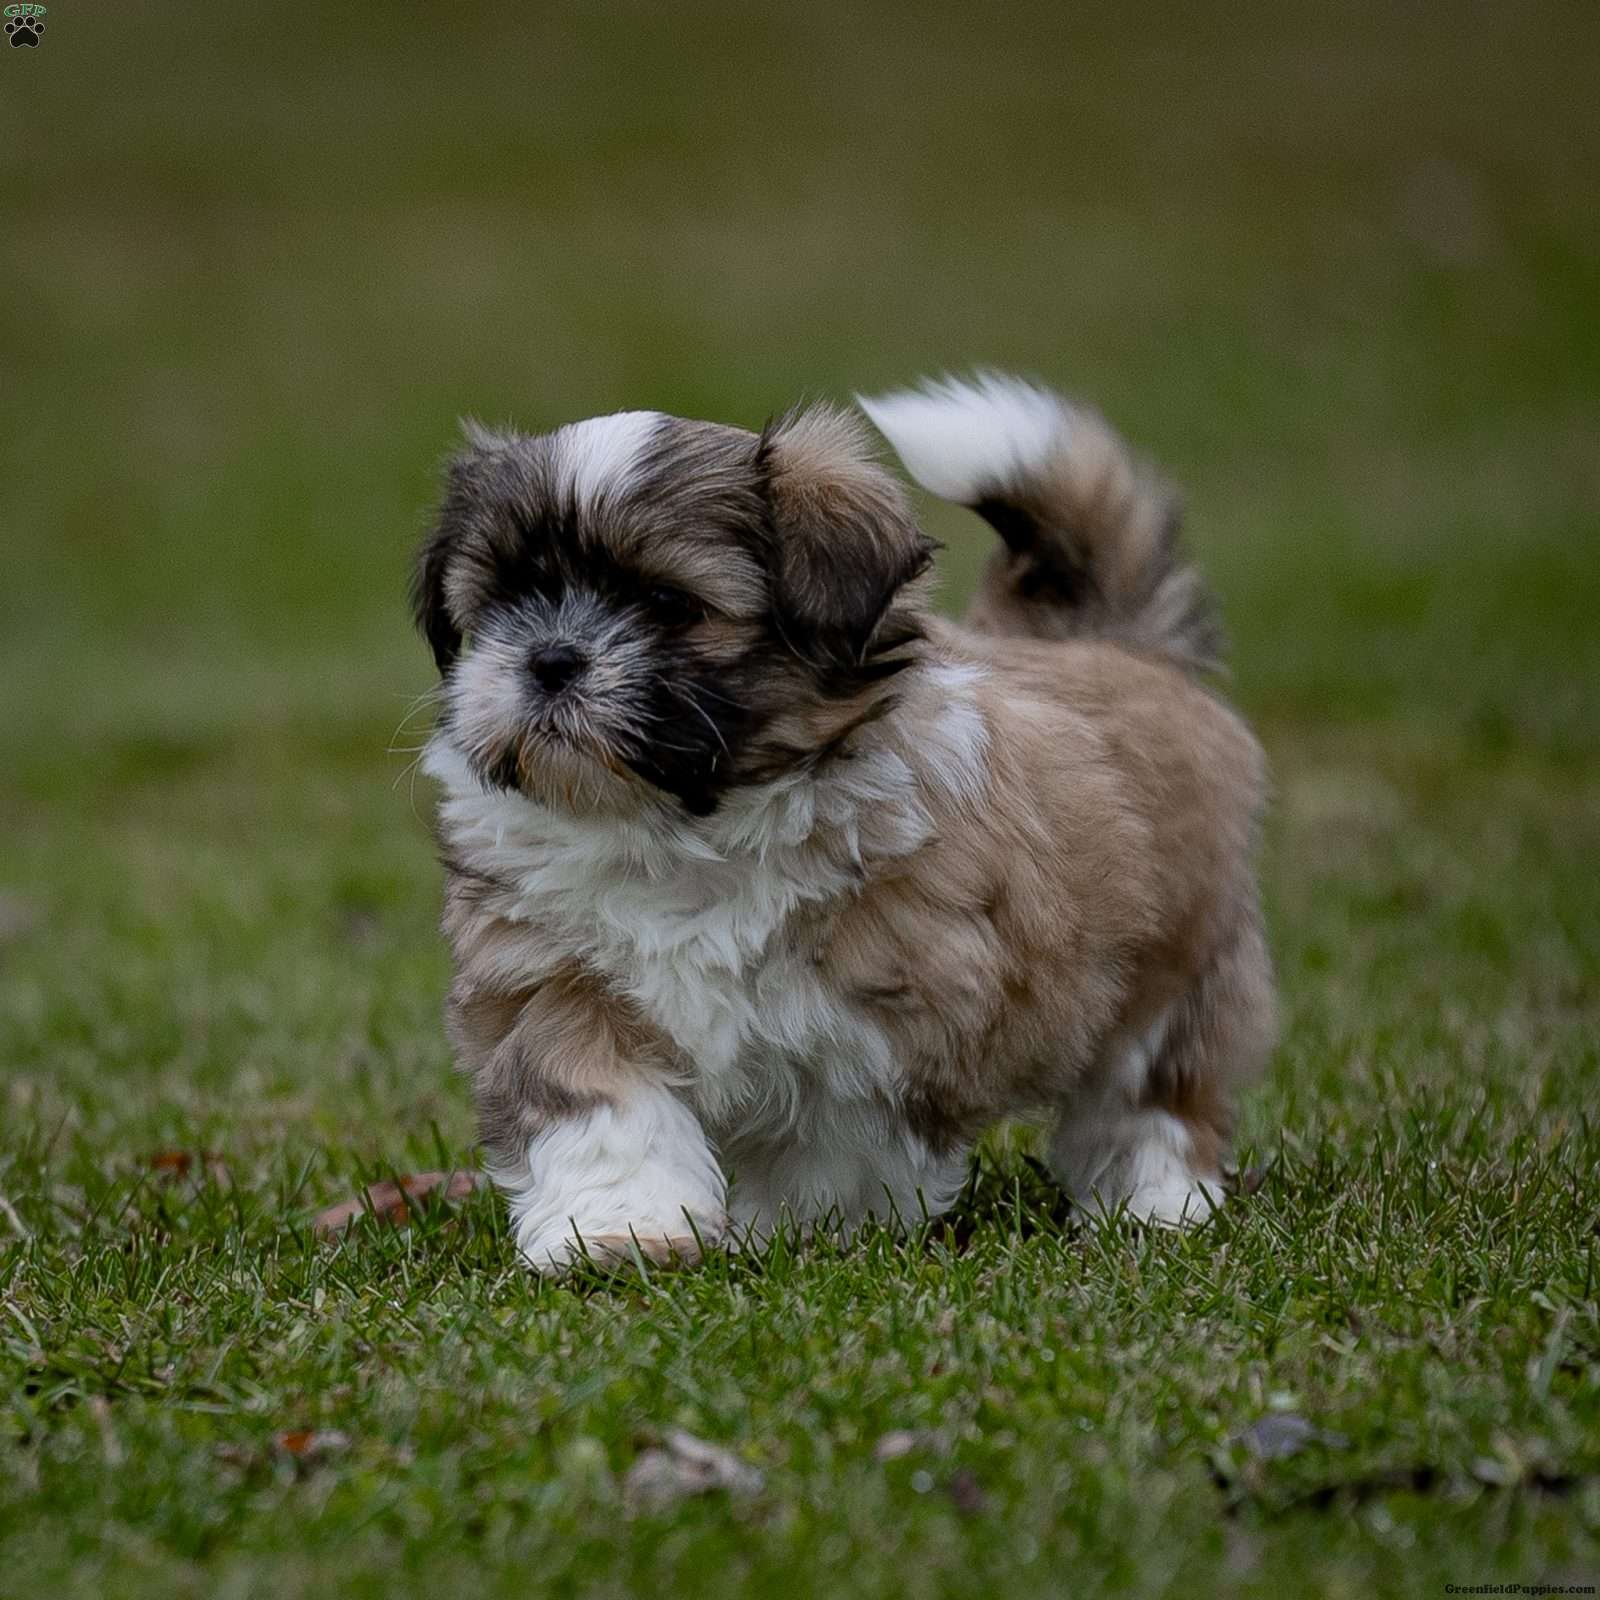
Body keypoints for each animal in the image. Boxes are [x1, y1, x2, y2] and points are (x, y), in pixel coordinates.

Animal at [412, 374, 1273, 1273]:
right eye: (505, 601)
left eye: (666, 603)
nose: (548, 659)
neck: (680, 828)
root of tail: (1113, 646)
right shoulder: (553, 980)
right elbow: (601, 1110)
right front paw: (619, 1233)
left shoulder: (887, 1018)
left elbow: (833, 1143)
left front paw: (794, 1232)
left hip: (1179, 967)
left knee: (1150, 1099)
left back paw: (1156, 1203)